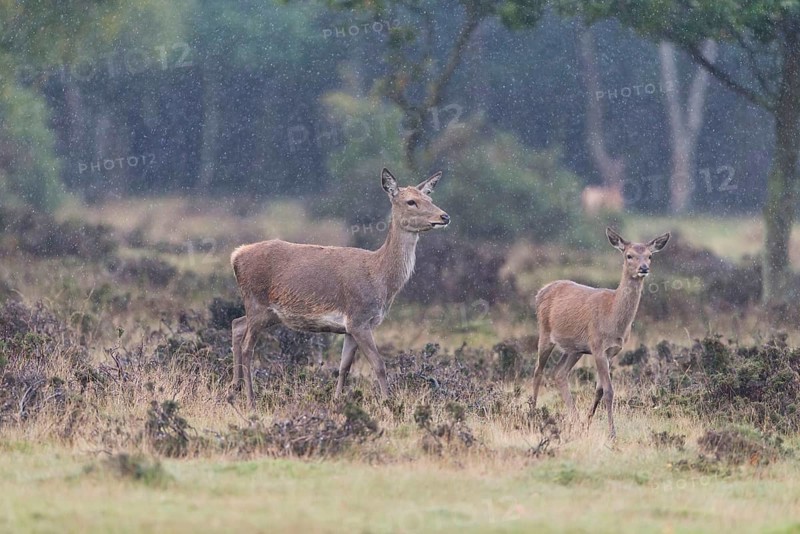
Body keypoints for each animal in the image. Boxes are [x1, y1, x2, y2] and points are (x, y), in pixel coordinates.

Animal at [229, 168, 450, 407]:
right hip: (256, 303)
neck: (380, 278)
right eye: (411, 201)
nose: (444, 216)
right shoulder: (359, 319)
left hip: (267, 313)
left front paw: (336, 402)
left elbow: (344, 367)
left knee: (236, 325)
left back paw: (234, 389)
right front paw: (389, 404)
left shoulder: (350, 327)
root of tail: (236, 256)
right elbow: (379, 365)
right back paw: (250, 399)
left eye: (429, 198)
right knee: (247, 347)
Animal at [532, 227, 670, 439]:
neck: (613, 318)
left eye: (650, 255)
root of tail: (541, 290)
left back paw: (576, 421)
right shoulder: (597, 347)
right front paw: (612, 433)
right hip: (545, 333)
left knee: (559, 373)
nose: (644, 268)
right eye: (629, 255)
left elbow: (599, 390)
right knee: (537, 371)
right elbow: (609, 390)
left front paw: (588, 423)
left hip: (575, 349)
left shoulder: (612, 351)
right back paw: (531, 413)